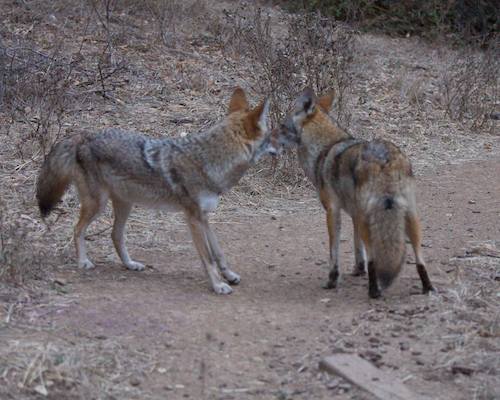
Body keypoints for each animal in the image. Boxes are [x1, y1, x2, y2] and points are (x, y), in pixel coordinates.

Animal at [36, 87, 280, 295]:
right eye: (271, 136)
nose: (283, 146)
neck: (209, 161)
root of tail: (82, 136)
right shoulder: (193, 218)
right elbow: (208, 258)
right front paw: (218, 285)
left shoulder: (205, 216)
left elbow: (218, 252)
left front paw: (228, 275)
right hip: (99, 205)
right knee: (77, 229)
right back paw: (83, 262)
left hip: (125, 205)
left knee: (115, 235)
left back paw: (130, 264)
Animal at [275, 88, 434, 298]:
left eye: (282, 125)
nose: (269, 137)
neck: (324, 148)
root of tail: (384, 158)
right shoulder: (354, 214)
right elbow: (358, 246)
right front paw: (358, 270)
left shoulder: (332, 211)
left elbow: (334, 251)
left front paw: (332, 280)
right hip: (410, 217)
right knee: (420, 259)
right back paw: (428, 288)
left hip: (373, 218)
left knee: (375, 258)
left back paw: (374, 291)